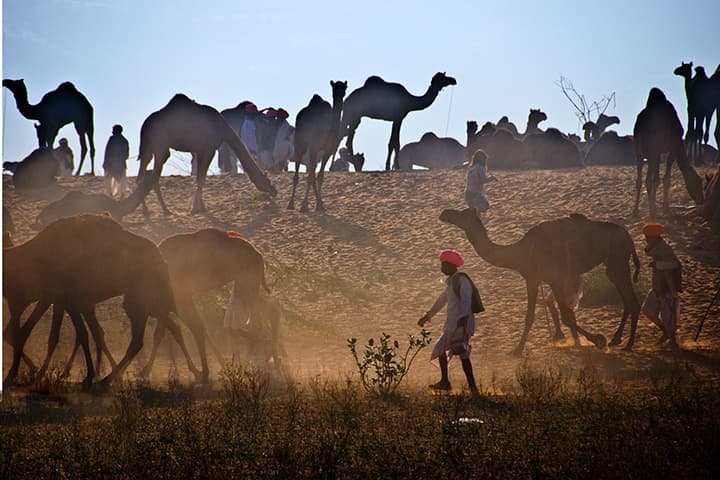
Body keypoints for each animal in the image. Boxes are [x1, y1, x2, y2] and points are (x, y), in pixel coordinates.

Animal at [2, 214, 200, 386]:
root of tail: (161, 257)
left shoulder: (68, 300)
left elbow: (82, 334)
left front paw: (89, 375)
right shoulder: (65, 300)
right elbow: (85, 333)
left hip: (145, 297)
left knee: (153, 333)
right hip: (141, 300)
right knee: (157, 331)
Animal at [137, 94, 276, 214]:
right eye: (267, 180)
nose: (274, 191)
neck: (223, 128)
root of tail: (145, 124)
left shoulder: (200, 149)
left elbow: (200, 177)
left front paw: (199, 207)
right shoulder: (209, 149)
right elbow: (201, 178)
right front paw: (196, 208)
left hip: (149, 148)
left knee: (144, 173)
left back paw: (154, 210)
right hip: (160, 146)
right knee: (151, 174)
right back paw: (158, 210)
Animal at [288, 80, 347, 212]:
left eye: (344, 88)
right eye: (334, 88)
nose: (339, 95)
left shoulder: (328, 150)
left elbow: (320, 176)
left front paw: (320, 204)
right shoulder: (314, 146)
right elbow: (311, 177)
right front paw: (304, 205)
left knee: (313, 172)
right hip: (300, 143)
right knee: (298, 174)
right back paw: (291, 204)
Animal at [440, 208, 642, 353]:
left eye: (463, 214)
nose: (445, 213)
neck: (520, 252)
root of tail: (629, 237)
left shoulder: (550, 278)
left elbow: (562, 315)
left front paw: (599, 340)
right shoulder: (537, 278)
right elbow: (538, 315)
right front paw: (518, 349)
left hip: (618, 260)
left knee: (632, 300)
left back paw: (627, 344)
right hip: (614, 264)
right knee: (627, 299)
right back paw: (617, 340)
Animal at [632, 88, 704, 217]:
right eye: (698, 183)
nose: (701, 200)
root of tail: (641, 126)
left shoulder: (658, 152)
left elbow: (657, 178)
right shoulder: (673, 147)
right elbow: (666, 179)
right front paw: (665, 208)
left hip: (638, 148)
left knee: (640, 179)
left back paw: (636, 211)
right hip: (652, 148)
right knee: (648, 180)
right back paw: (652, 211)